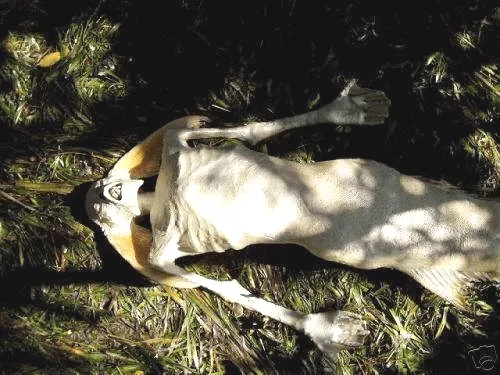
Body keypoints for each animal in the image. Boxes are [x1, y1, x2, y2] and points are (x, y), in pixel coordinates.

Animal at [86, 83, 500, 358]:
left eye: (105, 195)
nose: (100, 196)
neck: (158, 196)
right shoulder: (162, 257)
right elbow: (231, 291)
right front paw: (333, 330)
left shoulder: (177, 143)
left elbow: (237, 130)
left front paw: (350, 108)